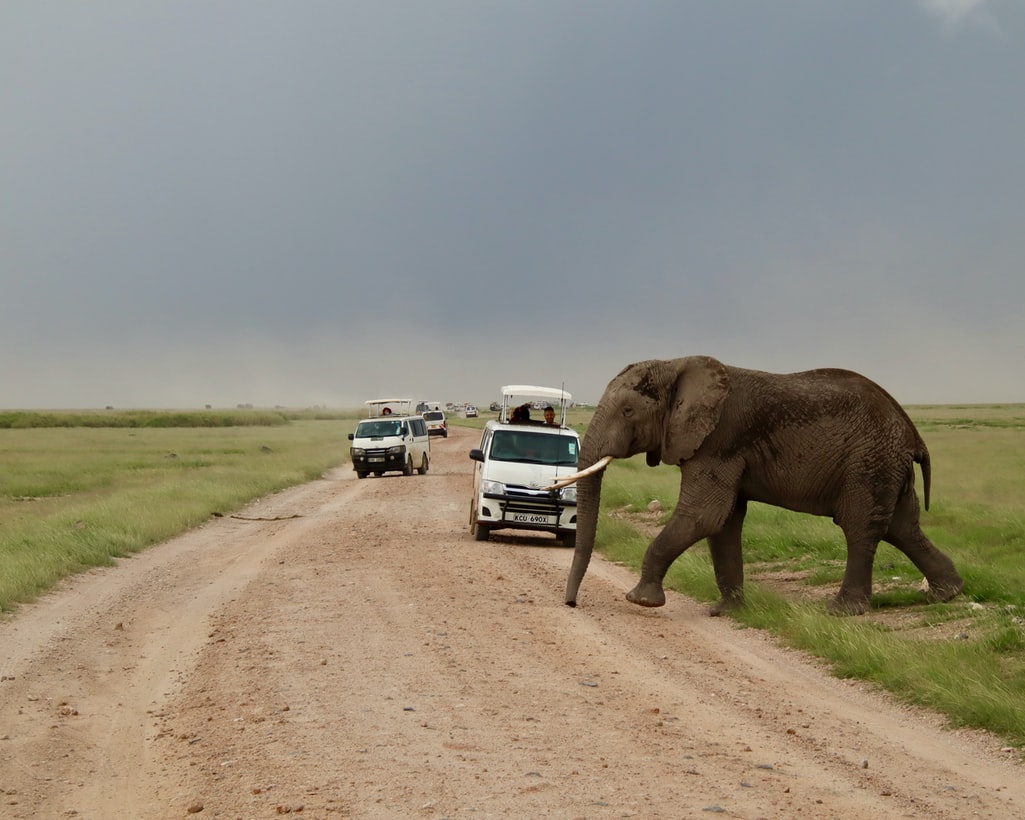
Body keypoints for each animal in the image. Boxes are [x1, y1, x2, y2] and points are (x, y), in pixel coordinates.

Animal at [553, 354, 959, 615]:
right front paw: (725, 611)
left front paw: (640, 601)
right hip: (886, 465)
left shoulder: (720, 439)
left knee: (861, 528)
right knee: (902, 527)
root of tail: (911, 432)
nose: (572, 604)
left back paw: (843, 612)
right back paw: (947, 594)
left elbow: (704, 515)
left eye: (627, 411)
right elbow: (724, 521)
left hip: (869, 461)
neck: (678, 366)